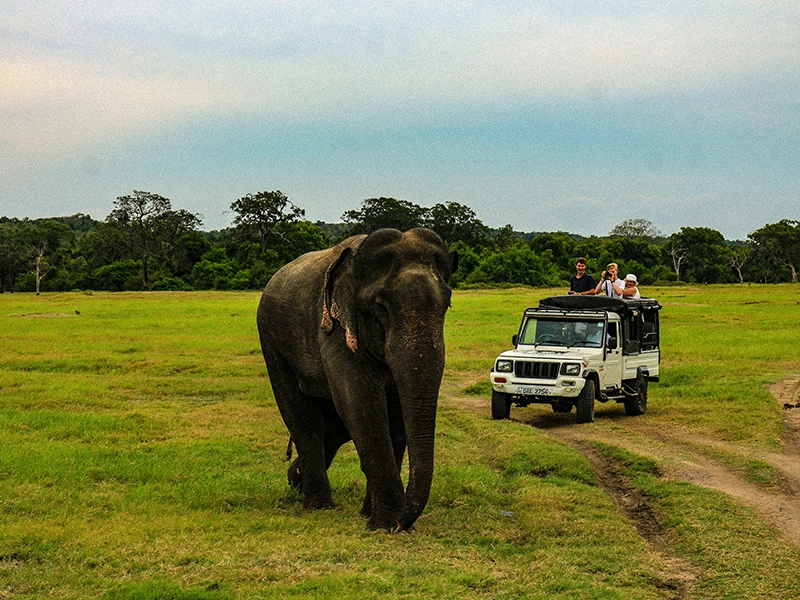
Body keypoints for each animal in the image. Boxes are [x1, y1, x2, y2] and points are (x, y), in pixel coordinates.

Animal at [257, 227, 457, 532]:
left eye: (447, 304)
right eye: (381, 307)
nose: (402, 523)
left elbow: (394, 412)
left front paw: (376, 518)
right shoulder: (334, 327)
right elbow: (360, 402)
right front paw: (385, 525)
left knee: (332, 426)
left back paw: (296, 480)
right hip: (271, 341)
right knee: (303, 418)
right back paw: (318, 504)